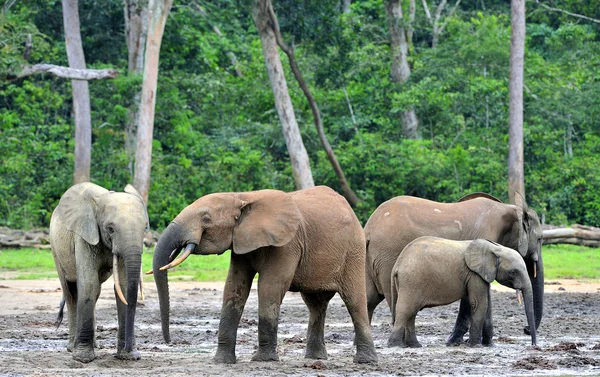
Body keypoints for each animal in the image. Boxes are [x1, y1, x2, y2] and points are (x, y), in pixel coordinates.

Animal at [50, 182, 149, 362]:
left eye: (145, 228)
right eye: (110, 229)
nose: (131, 351)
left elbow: (123, 286)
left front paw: (128, 357)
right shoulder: (84, 235)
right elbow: (89, 284)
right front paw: (83, 358)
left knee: (94, 293)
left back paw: (95, 346)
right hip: (55, 248)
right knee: (70, 292)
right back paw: (71, 347)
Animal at [151, 185, 376, 362]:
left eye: (206, 219)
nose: (169, 342)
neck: (242, 197)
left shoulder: (287, 243)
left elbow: (270, 286)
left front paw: (263, 359)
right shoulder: (241, 242)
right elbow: (234, 287)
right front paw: (222, 361)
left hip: (354, 252)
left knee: (354, 301)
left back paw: (365, 361)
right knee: (316, 305)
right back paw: (315, 358)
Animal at [390, 236, 540, 348]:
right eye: (513, 272)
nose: (533, 345)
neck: (495, 248)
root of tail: (397, 266)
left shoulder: (482, 274)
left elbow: (488, 306)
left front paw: (489, 345)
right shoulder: (474, 274)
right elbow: (480, 303)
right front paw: (475, 346)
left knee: (411, 312)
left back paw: (415, 345)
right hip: (411, 281)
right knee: (406, 310)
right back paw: (395, 345)